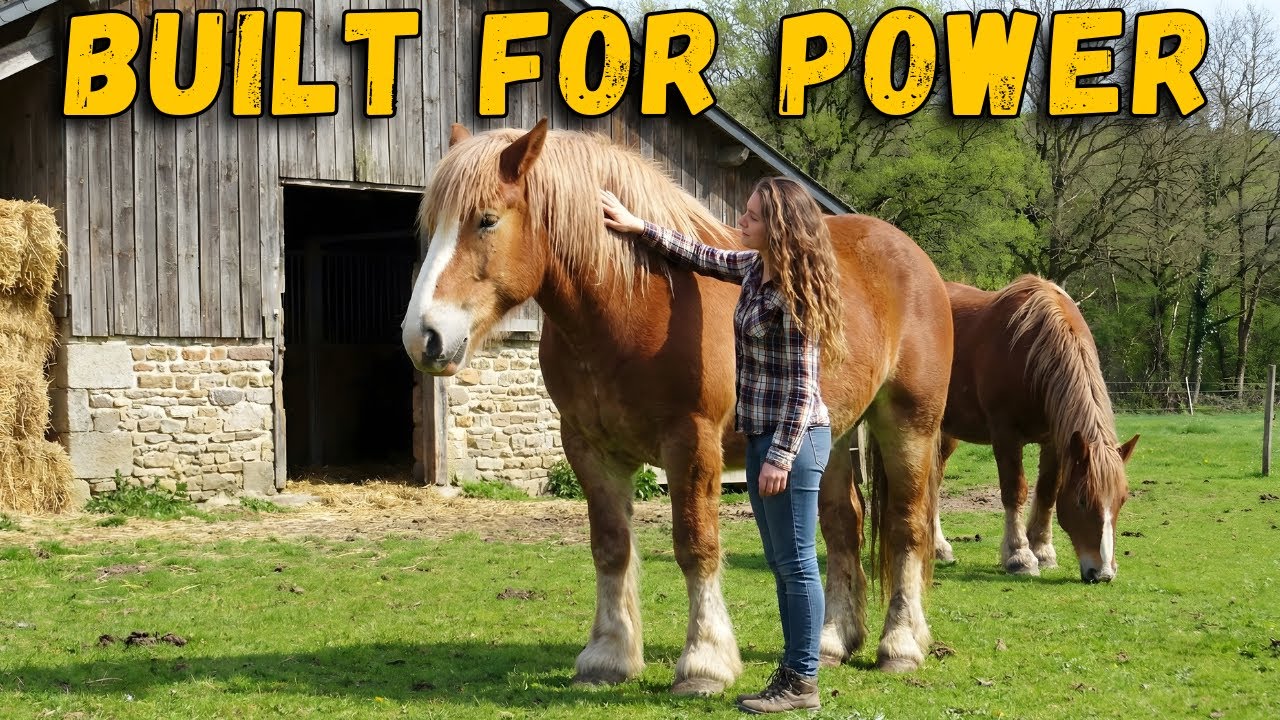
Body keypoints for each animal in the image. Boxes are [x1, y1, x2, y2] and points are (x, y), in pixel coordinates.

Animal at [401, 119, 953, 693]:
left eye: (486, 220)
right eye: (433, 224)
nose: (424, 338)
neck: (635, 298)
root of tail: (914, 257)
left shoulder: (690, 442)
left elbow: (696, 545)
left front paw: (704, 662)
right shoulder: (588, 447)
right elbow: (610, 546)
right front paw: (607, 656)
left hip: (908, 425)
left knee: (907, 527)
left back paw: (901, 645)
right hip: (831, 434)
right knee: (844, 525)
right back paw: (832, 643)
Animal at [934, 275, 1139, 583]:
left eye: (1122, 500)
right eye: (1082, 501)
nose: (1102, 573)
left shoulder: (1055, 440)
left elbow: (1047, 492)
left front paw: (1043, 551)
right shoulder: (1005, 434)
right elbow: (1014, 490)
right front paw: (1019, 556)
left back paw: (938, 548)